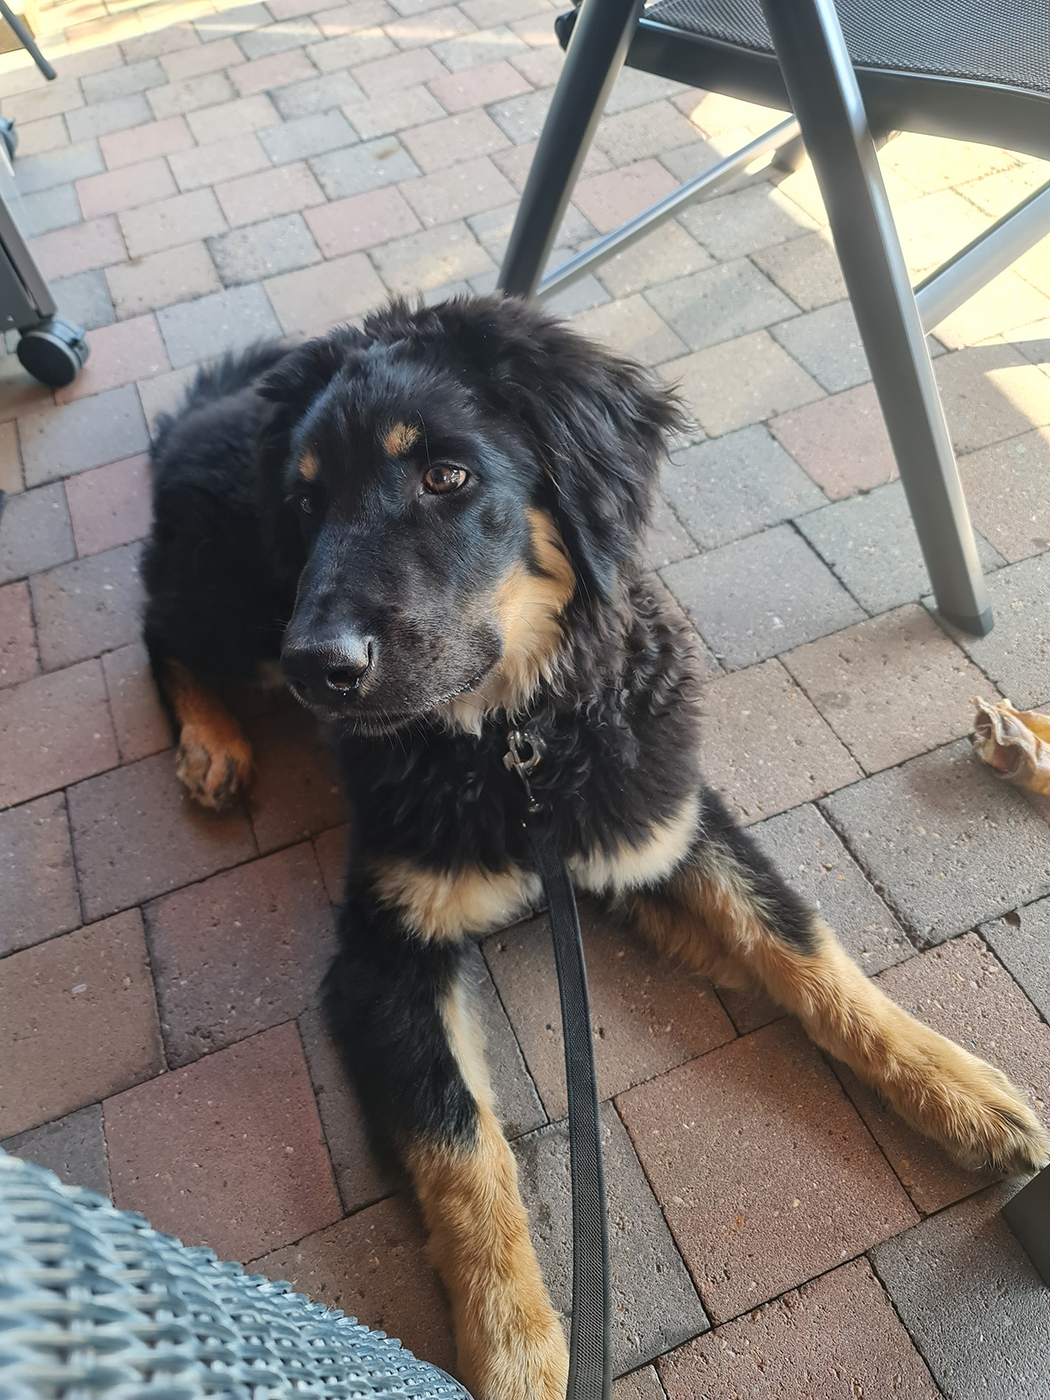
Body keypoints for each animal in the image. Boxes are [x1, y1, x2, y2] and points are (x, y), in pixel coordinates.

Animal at [141, 293, 1049, 1400]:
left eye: (446, 476)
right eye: (307, 502)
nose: (324, 666)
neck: (519, 742)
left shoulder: (662, 820)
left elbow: (806, 951)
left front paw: (958, 1089)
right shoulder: (383, 949)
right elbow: (462, 1147)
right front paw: (520, 1351)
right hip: (235, 605)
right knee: (157, 626)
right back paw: (211, 743)